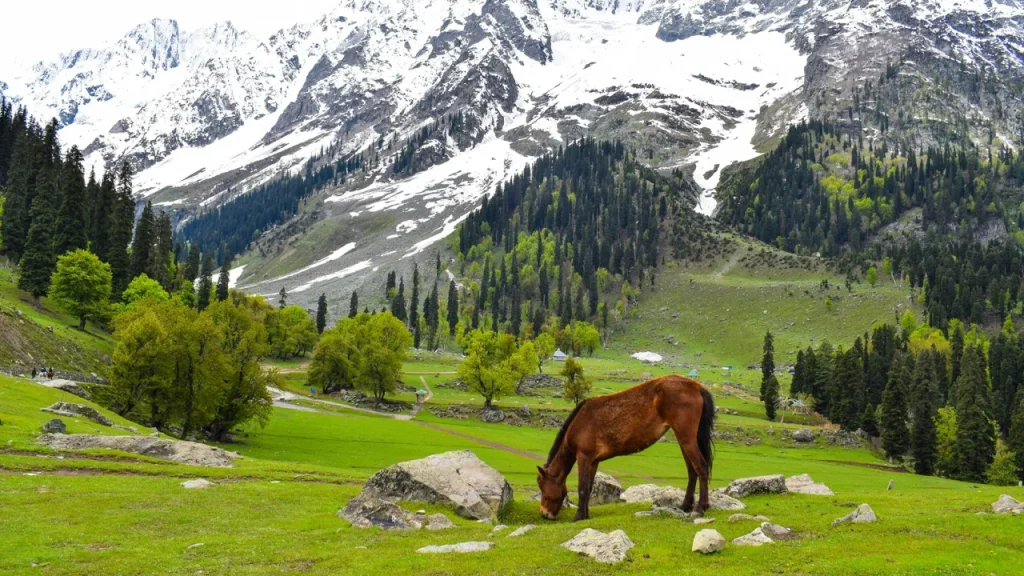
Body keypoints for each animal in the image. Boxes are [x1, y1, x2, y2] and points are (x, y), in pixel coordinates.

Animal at [536, 375, 715, 521]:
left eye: (542, 487)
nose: (544, 514)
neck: (580, 422)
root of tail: (697, 387)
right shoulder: (593, 462)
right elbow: (588, 488)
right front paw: (585, 515)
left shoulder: (584, 458)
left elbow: (582, 488)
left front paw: (578, 517)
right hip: (684, 440)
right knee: (692, 471)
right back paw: (685, 506)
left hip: (686, 438)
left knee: (701, 467)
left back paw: (701, 507)